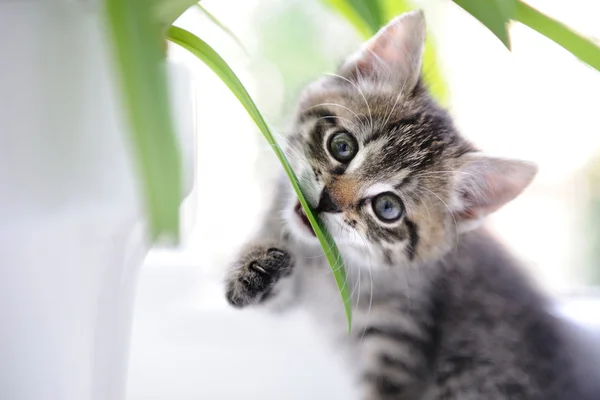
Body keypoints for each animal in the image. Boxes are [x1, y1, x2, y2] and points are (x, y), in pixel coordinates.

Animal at [224, 9, 600, 400]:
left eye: (388, 208)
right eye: (342, 146)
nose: (327, 200)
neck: (330, 265)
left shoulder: (399, 337)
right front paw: (255, 266)